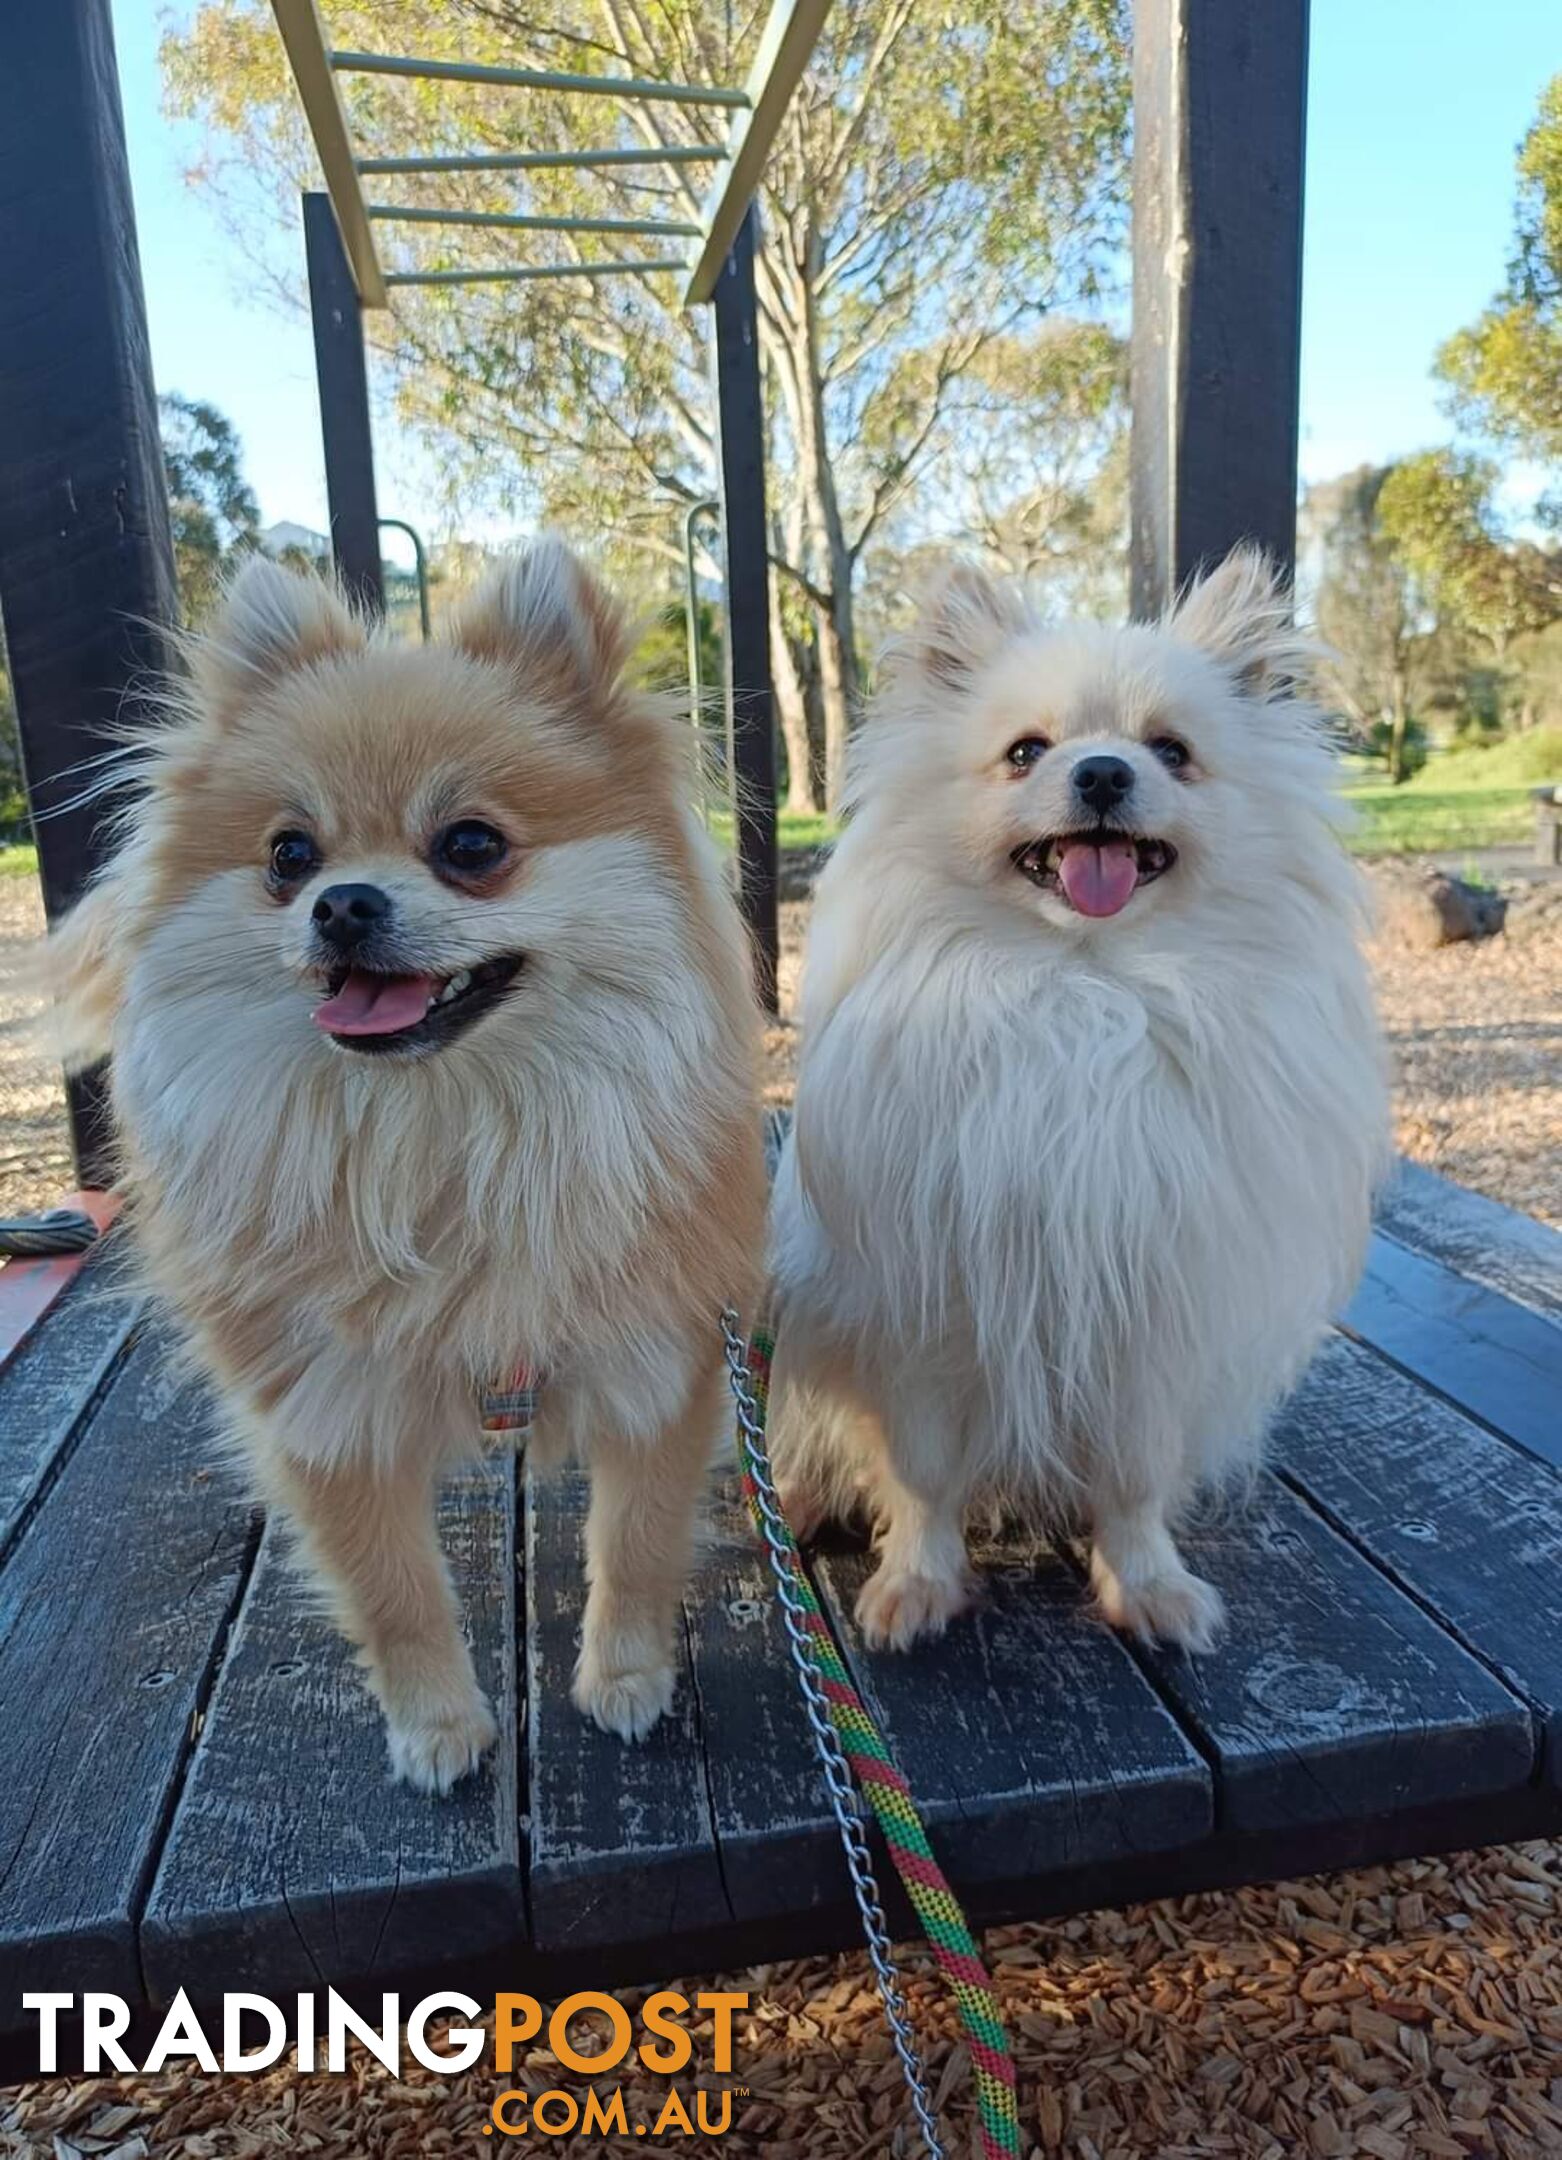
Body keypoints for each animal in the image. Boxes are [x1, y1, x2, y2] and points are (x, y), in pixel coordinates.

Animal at [44, 540, 764, 1788]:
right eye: (287, 856)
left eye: (471, 845)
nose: (341, 903)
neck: (438, 1140)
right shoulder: (324, 1406)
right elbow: (394, 1592)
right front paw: (435, 1725)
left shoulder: (659, 1359)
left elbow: (634, 1543)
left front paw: (624, 1678)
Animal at [773, 544, 1391, 1650]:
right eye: (1025, 753)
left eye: (1171, 752)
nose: (1103, 771)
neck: (1082, 990)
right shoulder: (928, 1314)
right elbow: (922, 1477)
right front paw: (916, 1584)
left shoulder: (1147, 1321)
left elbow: (1134, 1480)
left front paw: (1147, 1586)